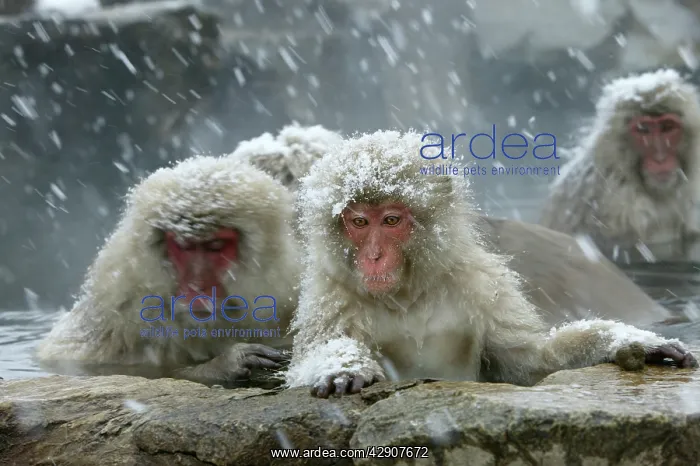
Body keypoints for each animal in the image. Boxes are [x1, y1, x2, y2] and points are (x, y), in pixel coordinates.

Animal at [282, 129, 697, 398]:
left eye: (390, 220)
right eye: (358, 222)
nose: (373, 256)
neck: (408, 295)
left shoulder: (484, 285)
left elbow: (531, 362)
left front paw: (632, 341)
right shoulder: (329, 297)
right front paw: (341, 365)